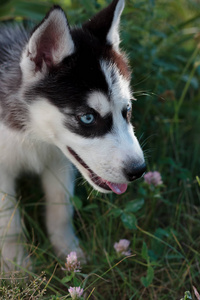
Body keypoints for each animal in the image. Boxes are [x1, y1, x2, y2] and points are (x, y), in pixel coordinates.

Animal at [0, 0, 145, 272]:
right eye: (87, 118)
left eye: (127, 110)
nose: (138, 170)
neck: (34, 137)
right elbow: (9, 221)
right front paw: (17, 267)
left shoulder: (60, 161)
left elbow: (61, 209)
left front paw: (70, 254)